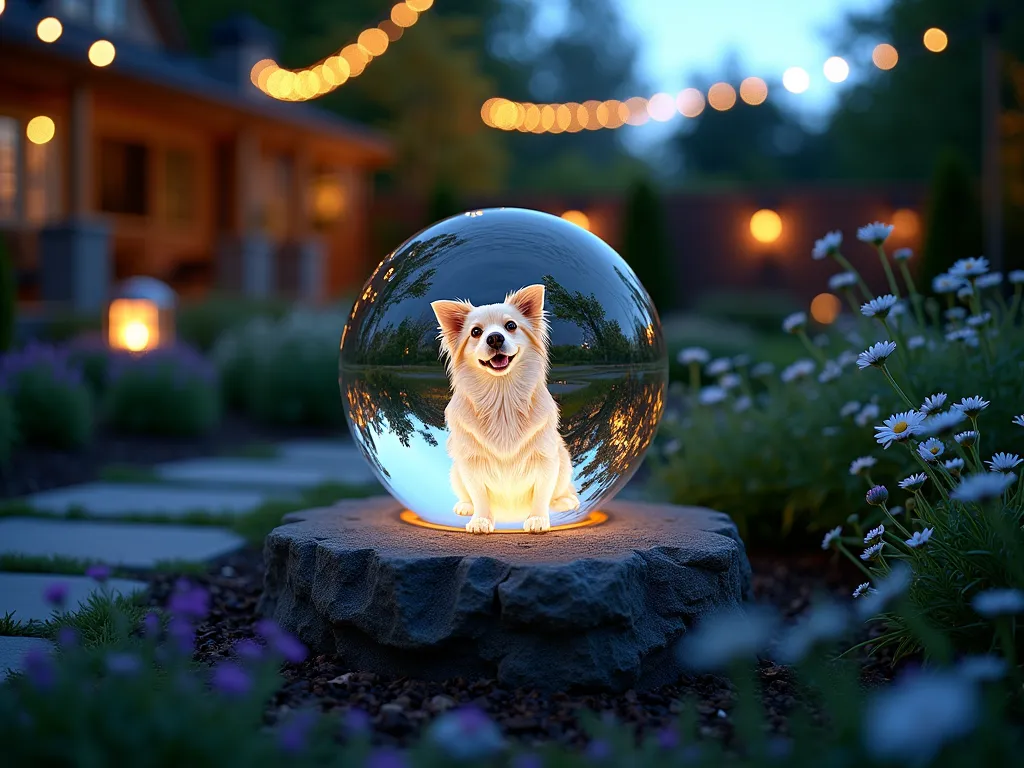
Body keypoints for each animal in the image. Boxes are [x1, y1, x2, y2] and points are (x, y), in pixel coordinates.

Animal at [430, 284, 581, 536]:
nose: (494, 338)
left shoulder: (546, 460)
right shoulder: (470, 464)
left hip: (563, 462)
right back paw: (465, 506)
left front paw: (538, 519)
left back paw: (564, 501)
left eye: (511, 326)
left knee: (559, 492)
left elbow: (542, 494)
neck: (502, 399)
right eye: (476, 332)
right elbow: (480, 496)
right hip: (457, 472)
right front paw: (481, 521)